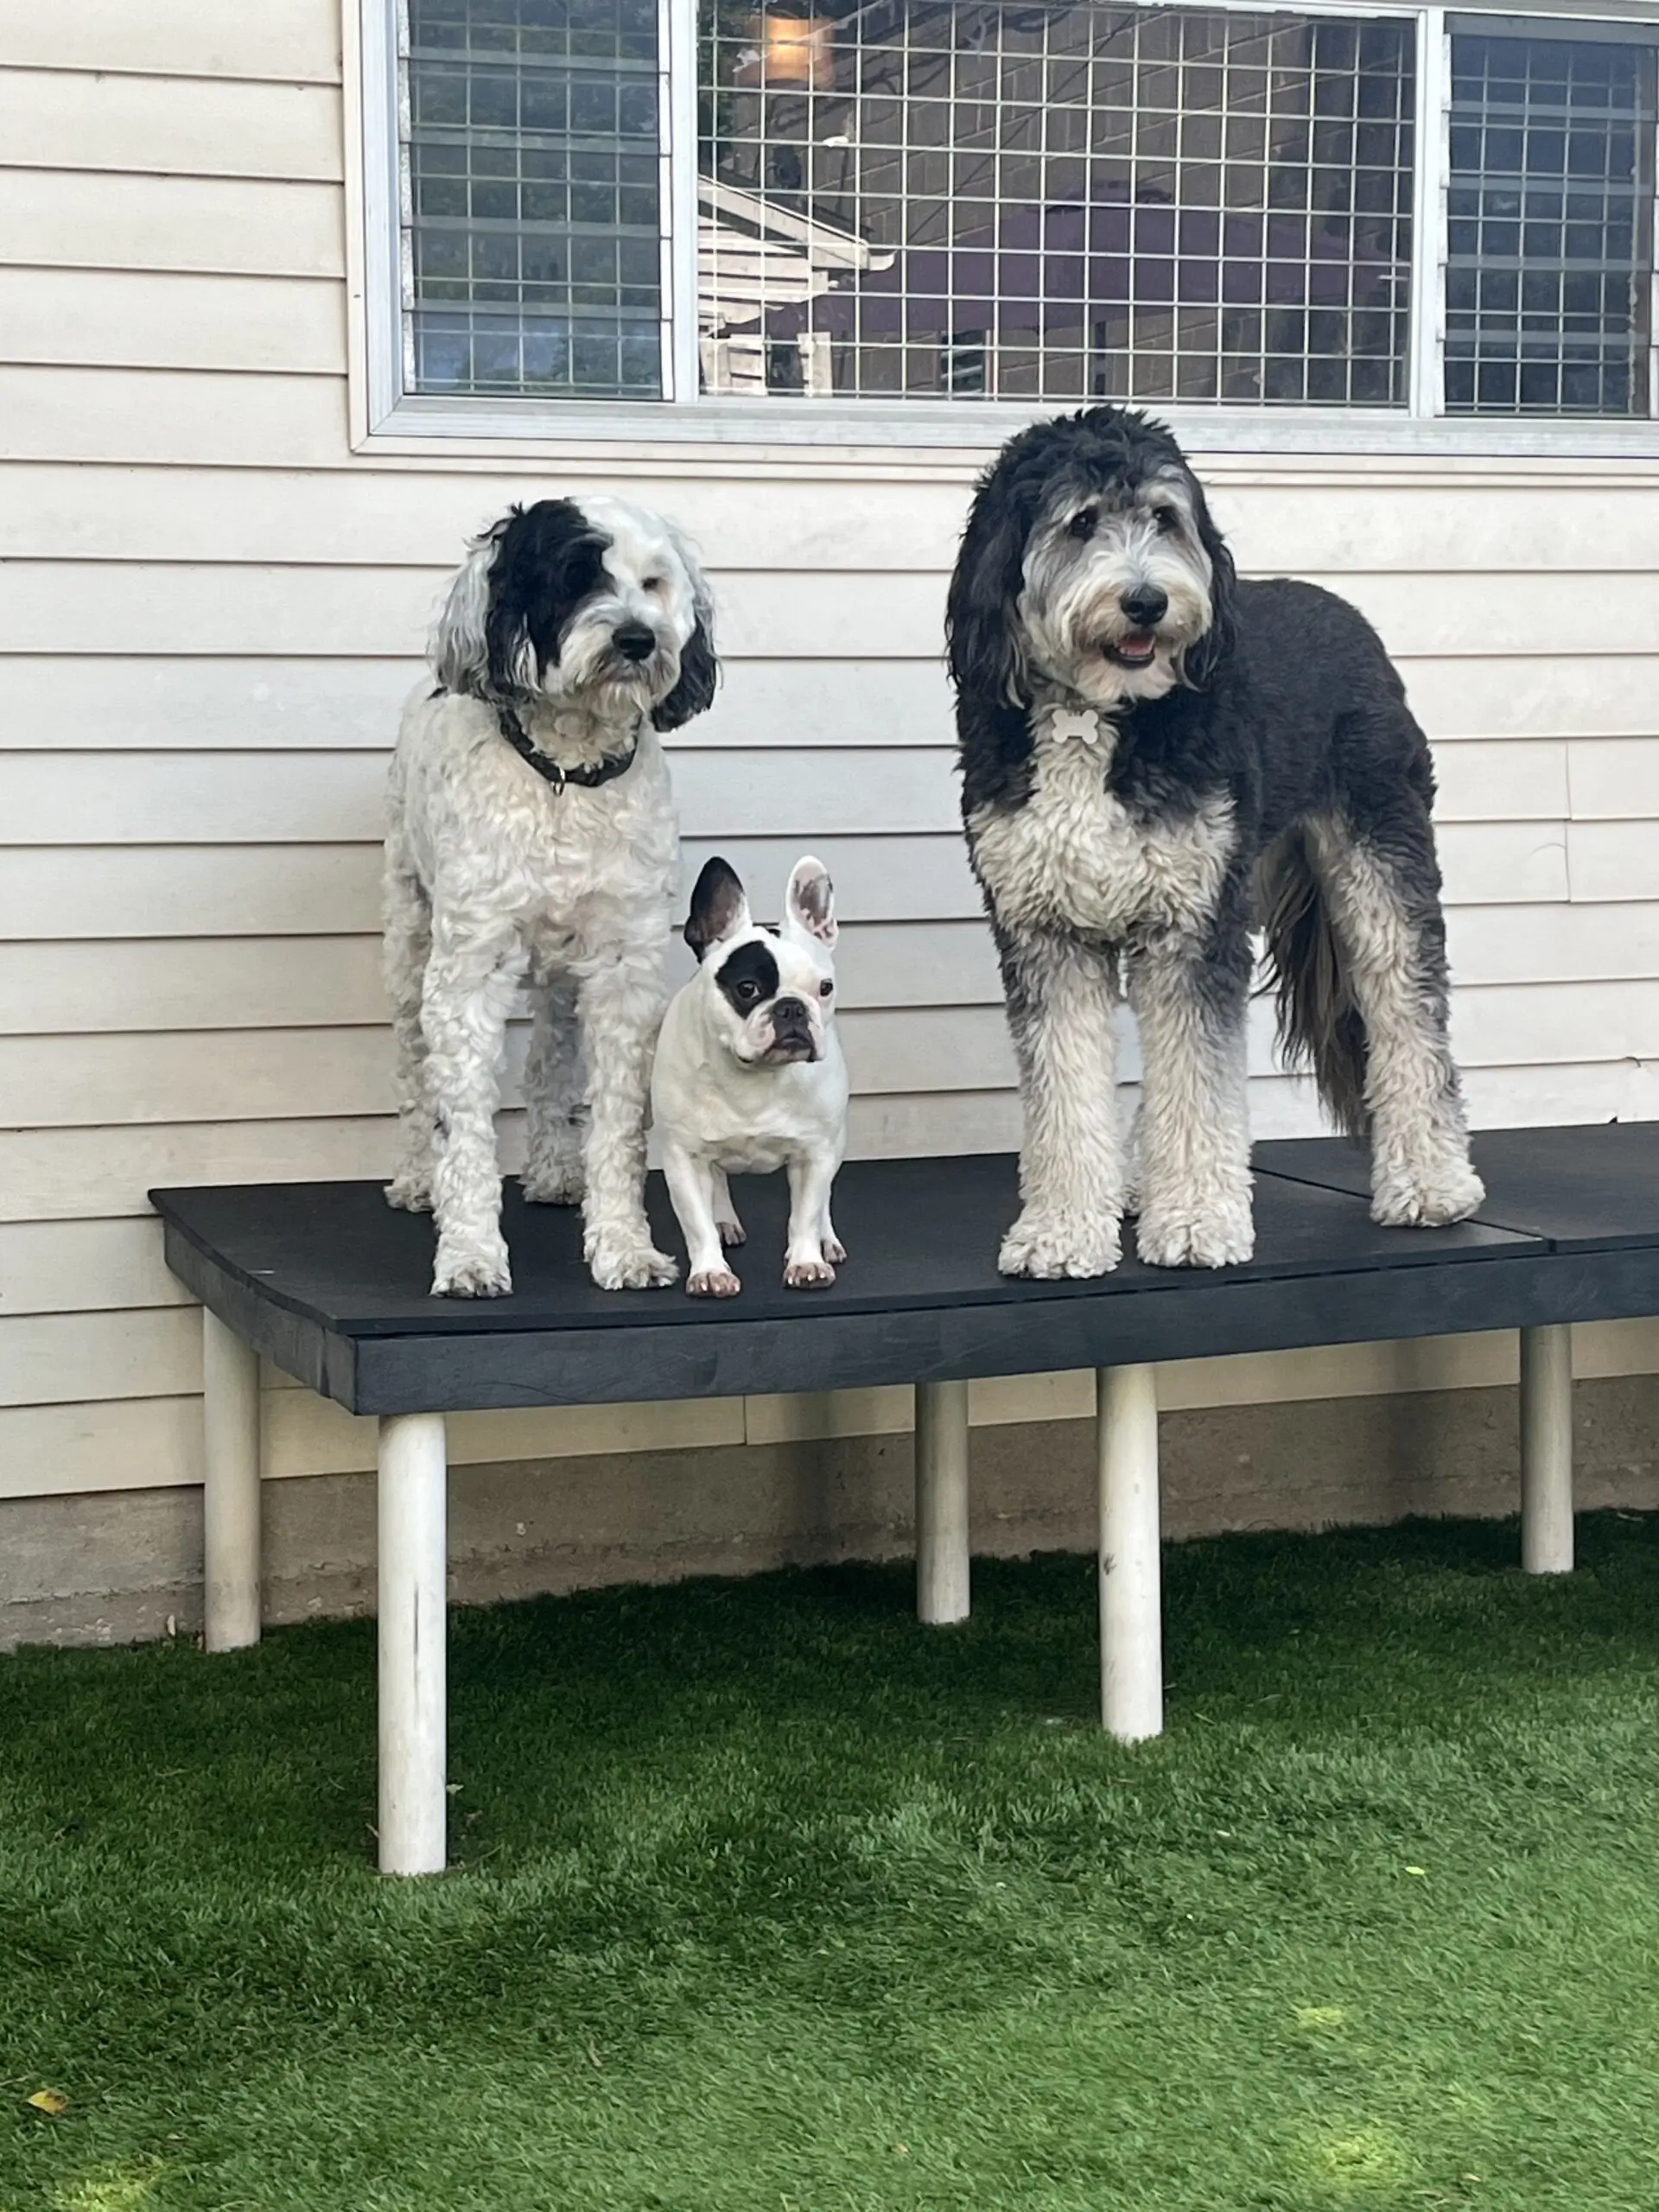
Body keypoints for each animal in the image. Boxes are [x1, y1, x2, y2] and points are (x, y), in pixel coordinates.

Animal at [387, 498, 716, 1292]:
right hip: (409, 936)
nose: (637, 638)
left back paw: (555, 1170)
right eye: (573, 577)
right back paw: (415, 1179)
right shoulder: (467, 969)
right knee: (413, 1069)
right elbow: (463, 1125)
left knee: (550, 1060)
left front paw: (624, 1247)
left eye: (652, 582)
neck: (567, 775)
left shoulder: (623, 967)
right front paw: (470, 1254)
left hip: (566, 973)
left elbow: (618, 1123)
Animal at [955, 411, 1486, 1282]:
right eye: (1082, 522)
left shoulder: (1191, 926)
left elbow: (1199, 1080)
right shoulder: (1048, 931)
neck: (1098, 720)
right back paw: (1141, 1180)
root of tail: (1347, 613)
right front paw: (1063, 1230)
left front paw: (1199, 1221)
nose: (1147, 602)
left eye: (1165, 518)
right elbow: (1067, 1091)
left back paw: (1431, 1183)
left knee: (1409, 1011)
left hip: (1377, 861)